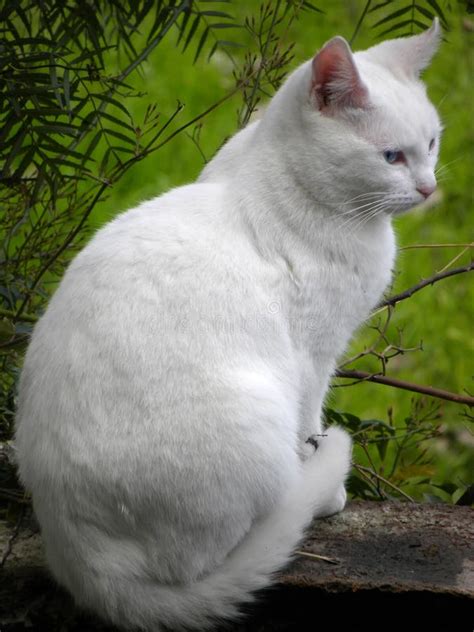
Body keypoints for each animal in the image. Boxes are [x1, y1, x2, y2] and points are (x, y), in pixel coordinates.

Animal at [16, 19, 442, 632]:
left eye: (431, 144)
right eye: (390, 156)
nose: (430, 188)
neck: (284, 180)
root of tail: (89, 569)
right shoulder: (313, 354)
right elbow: (311, 415)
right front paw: (324, 479)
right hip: (256, 415)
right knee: (205, 555)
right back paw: (303, 497)